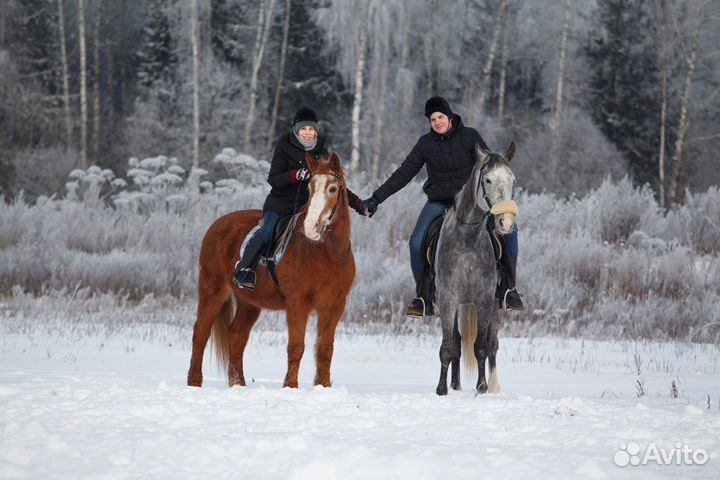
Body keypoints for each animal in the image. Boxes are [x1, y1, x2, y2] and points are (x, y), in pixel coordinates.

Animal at [186, 152, 354, 388]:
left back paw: (238, 384)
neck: (326, 254)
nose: (311, 227)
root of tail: (217, 225)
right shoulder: (297, 303)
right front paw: (290, 387)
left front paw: (323, 387)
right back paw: (194, 382)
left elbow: (324, 349)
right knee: (200, 333)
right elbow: (296, 347)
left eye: (332, 188)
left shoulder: (335, 306)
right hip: (212, 291)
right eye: (309, 188)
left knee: (236, 336)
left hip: (249, 303)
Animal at [434, 142, 516, 394]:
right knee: (458, 342)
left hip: (497, 308)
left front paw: (481, 387)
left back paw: (494, 385)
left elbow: (481, 346)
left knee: (492, 344)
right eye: (487, 180)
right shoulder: (448, 299)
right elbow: (448, 346)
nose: (506, 222)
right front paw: (442, 389)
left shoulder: (485, 300)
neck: (468, 240)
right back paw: (455, 384)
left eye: (512, 179)